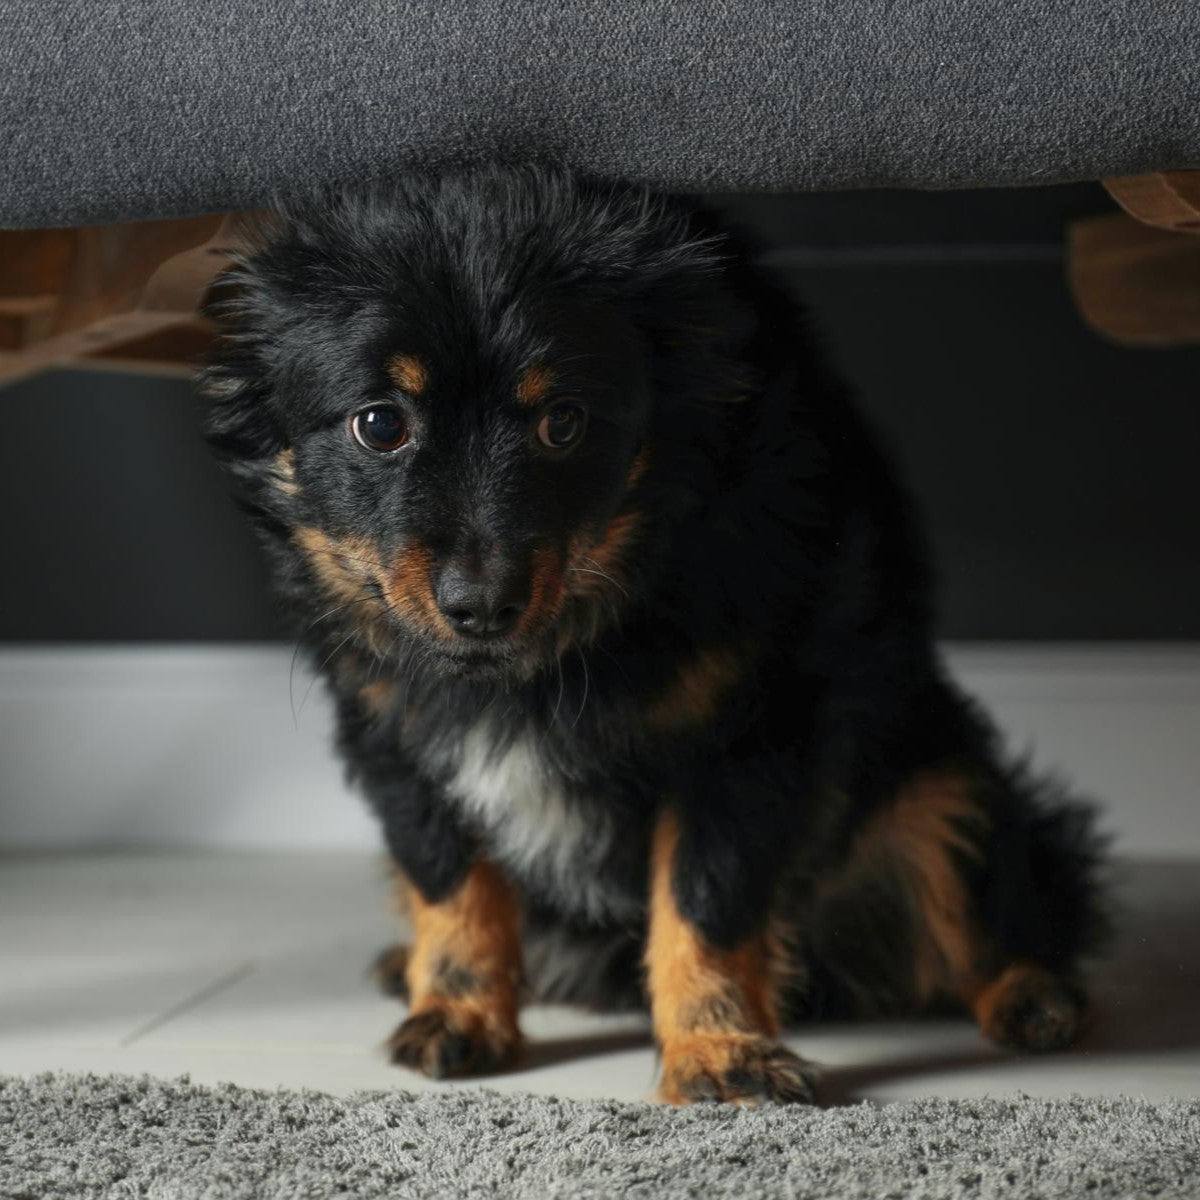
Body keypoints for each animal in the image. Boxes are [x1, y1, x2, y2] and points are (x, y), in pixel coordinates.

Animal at [201, 164, 1108, 1099]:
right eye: (380, 423)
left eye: (563, 421)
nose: (482, 604)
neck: (548, 657)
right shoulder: (395, 738)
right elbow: (453, 883)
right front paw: (458, 1010)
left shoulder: (750, 736)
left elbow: (705, 902)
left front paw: (719, 1049)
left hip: (942, 782)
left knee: (996, 912)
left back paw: (1034, 998)